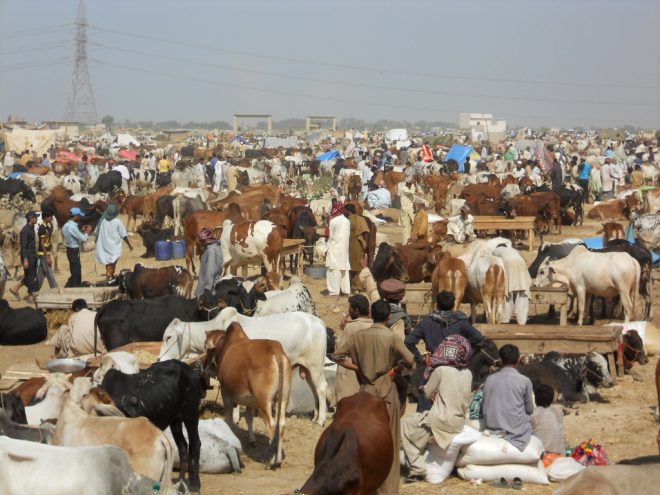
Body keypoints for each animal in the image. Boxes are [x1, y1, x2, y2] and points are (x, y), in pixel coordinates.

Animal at [100, 360, 202, 492]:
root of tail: (191, 372)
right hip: (175, 421)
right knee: (183, 447)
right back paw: (181, 482)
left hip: (191, 415)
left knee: (195, 444)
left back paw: (195, 483)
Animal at [159, 306, 324, 426]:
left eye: (169, 337)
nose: (160, 359)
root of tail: (319, 322)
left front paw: (235, 417)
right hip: (307, 369)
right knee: (314, 390)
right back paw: (315, 417)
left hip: (315, 367)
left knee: (321, 388)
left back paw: (321, 420)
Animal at [205, 326, 290, 468]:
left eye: (205, 346)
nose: (205, 366)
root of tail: (274, 349)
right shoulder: (250, 400)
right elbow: (249, 418)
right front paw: (252, 441)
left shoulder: (225, 393)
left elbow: (229, 418)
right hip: (282, 399)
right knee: (281, 425)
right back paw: (277, 460)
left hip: (264, 401)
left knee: (271, 426)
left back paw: (270, 461)